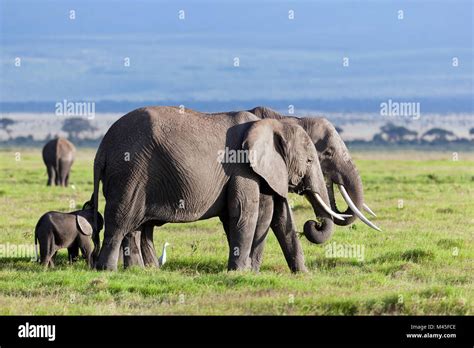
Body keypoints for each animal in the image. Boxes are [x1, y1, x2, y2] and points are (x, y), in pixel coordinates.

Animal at [92, 106, 344, 272]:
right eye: (310, 161)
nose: (313, 224)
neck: (272, 125)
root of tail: (102, 148)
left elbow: (277, 217)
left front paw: (301, 275)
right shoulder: (241, 167)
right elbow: (245, 213)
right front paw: (239, 273)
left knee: (134, 226)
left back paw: (140, 272)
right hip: (130, 172)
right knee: (120, 221)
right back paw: (108, 270)